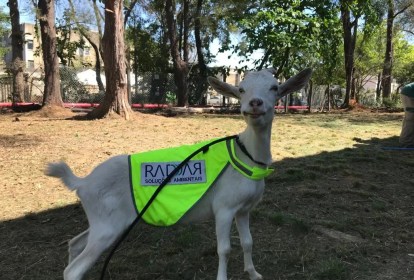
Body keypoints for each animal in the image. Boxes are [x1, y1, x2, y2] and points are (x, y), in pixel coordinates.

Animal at [46, 68, 310, 280]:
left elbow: (248, 242)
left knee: (74, 243)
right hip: (107, 225)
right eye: (242, 89)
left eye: (275, 87)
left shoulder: (244, 209)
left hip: (103, 221)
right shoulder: (224, 207)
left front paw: (254, 273)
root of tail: (82, 182)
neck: (246, 156)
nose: (254, 103)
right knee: (73, 270)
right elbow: (224, 249)